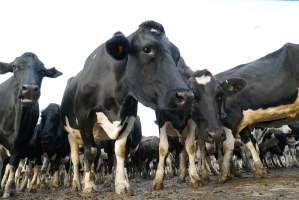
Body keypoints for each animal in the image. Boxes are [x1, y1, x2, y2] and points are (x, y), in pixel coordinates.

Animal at [0, 52, 62, 197]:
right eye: (15, 66)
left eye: (42, 71)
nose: (30, 89)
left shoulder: (21, 143)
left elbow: (14, 165)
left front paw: (8, 190)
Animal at [60, 20, 195, 194]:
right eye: (147, 49)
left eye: (176, 55)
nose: (187, 96)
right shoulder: (84, 118)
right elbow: (91, 152)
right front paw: (89, 185)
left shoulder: (128, 115)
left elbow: (120, 151)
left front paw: (121, 184)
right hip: (71, 134)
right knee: (76, 158)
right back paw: (77, 183)